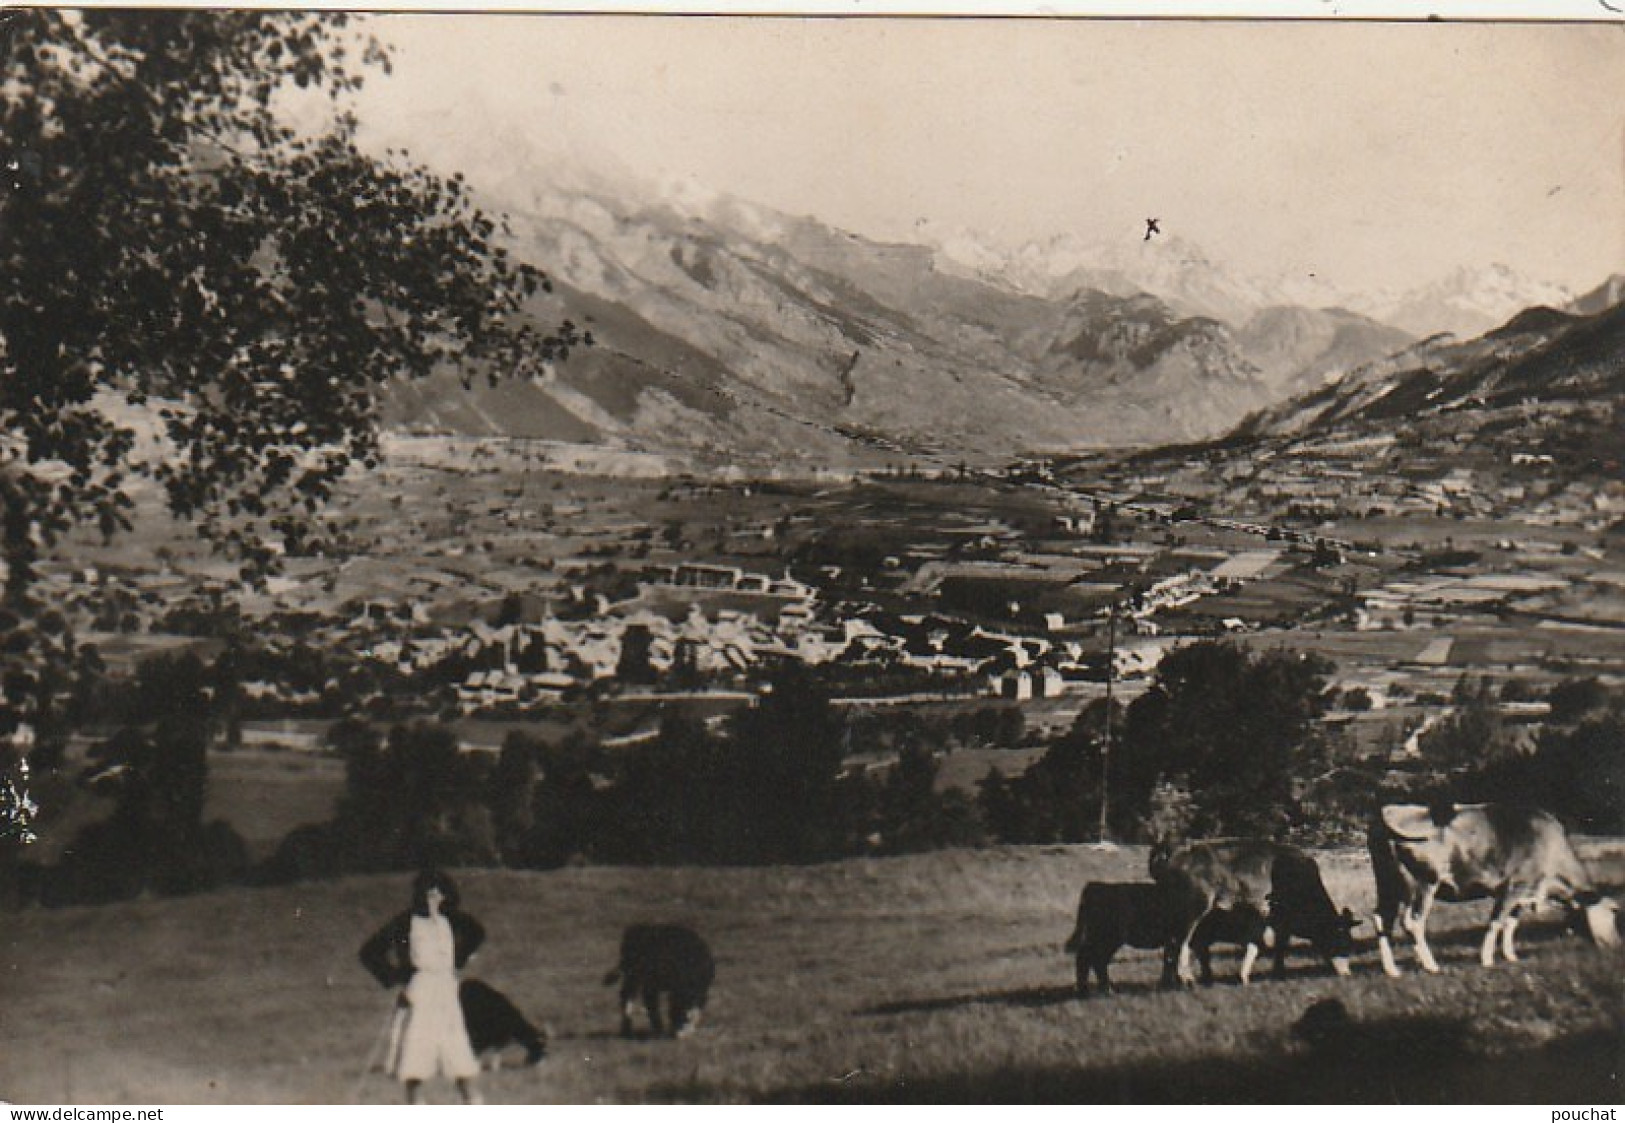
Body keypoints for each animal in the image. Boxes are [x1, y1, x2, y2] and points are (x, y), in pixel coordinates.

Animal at [1059, 884, 1261, 994]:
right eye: (1244, 915)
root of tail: (1094, 887)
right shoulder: (1195, 941)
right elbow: (1197, 959)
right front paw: (1196, 980)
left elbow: (1171, 960)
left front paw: (1171, 982)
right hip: (1107, 938)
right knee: (1094, 960)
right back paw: (1107, 990)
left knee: (1085, 958)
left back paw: (1086, 989)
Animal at [1157, 838, 1358, 988]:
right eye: (1341, 942)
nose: (1347, 974)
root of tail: (1176, 851)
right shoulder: (1280, 919)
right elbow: (1280, 945)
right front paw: (1279, 973)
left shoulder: (1263, 918)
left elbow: (1255, 945)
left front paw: (1244, 976)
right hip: (1193, 910)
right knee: (1180, 943)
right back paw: (1186, 979)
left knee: (1170, 944)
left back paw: (1167, 982)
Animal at [1365, 799, 1618, 975]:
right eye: (1614, 915)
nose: (1615, 945)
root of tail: (1391, 810)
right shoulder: (1513, 887)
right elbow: (1496, 922)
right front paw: (1487, 959)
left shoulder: (1524, 892)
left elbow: (1511, 923)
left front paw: (1510, 955)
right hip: (1423, 882)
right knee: (1413, 922)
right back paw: (1431, 966)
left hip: (1387, 884)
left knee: (1382, 919)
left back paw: (1392, 970)